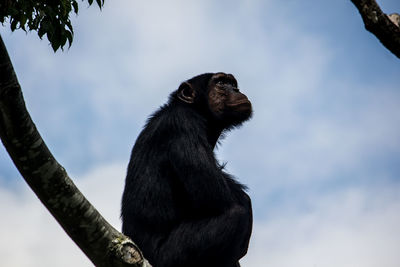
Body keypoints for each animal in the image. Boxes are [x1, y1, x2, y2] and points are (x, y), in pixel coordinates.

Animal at [121, 73, 253, 267]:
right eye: (221, 82)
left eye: (232, 83)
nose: (236, 90)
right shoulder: (183, 124)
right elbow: (215, 198)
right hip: (170, 257)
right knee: (236, 214)